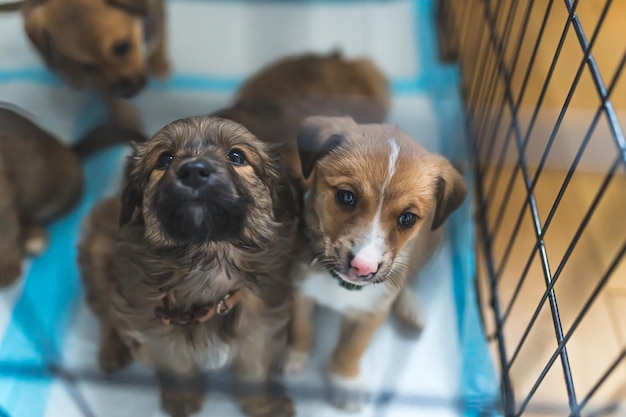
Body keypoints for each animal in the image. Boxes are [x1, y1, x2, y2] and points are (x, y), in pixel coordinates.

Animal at [77, 115, 302, 416]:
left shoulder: (259, 332)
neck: (206, 259)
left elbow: (253, 374)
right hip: (99, 255)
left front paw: (264, 406)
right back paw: (112, 350)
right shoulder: (156, 333)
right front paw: (183, 399)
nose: (194, 171)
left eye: (237, 156)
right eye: (164, 159)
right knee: (107, 313)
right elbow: (179, 369)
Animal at [280, 115, 466, 408]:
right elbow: (301, 326)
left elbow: (352, 347)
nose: (363, 267)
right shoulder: (300, 289)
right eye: (346, 196)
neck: (341, 286)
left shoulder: (372, 313)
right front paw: (295, 356)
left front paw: (345, 381)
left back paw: (411, 308)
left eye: (408, 218)